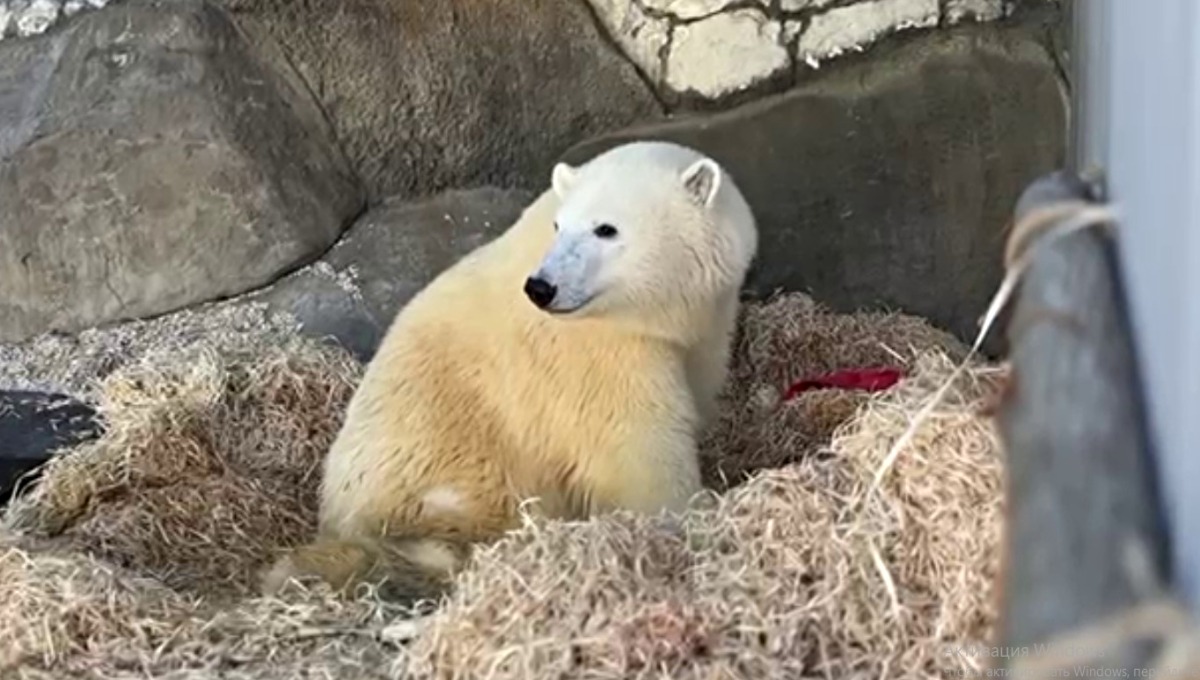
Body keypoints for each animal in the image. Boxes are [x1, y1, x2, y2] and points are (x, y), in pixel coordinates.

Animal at [262, 140, 758, 604]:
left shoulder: (703, 326)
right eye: (561, 225)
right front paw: (692, 516)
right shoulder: (595, 355)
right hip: (455, 492)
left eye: (605, 228)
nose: (542, 288)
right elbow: (639, 451)